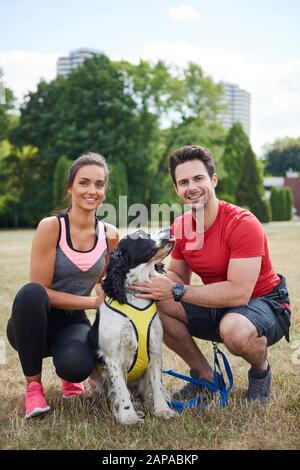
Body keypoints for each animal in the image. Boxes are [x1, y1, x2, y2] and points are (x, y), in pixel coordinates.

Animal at [86, 228, 176, 426]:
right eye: (142, 235)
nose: (171, 229)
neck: (134, 294)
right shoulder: (112, 356)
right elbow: (121, 388)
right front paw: (128, 416)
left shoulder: (154, 348)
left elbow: (157, 384)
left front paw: (162, 410)